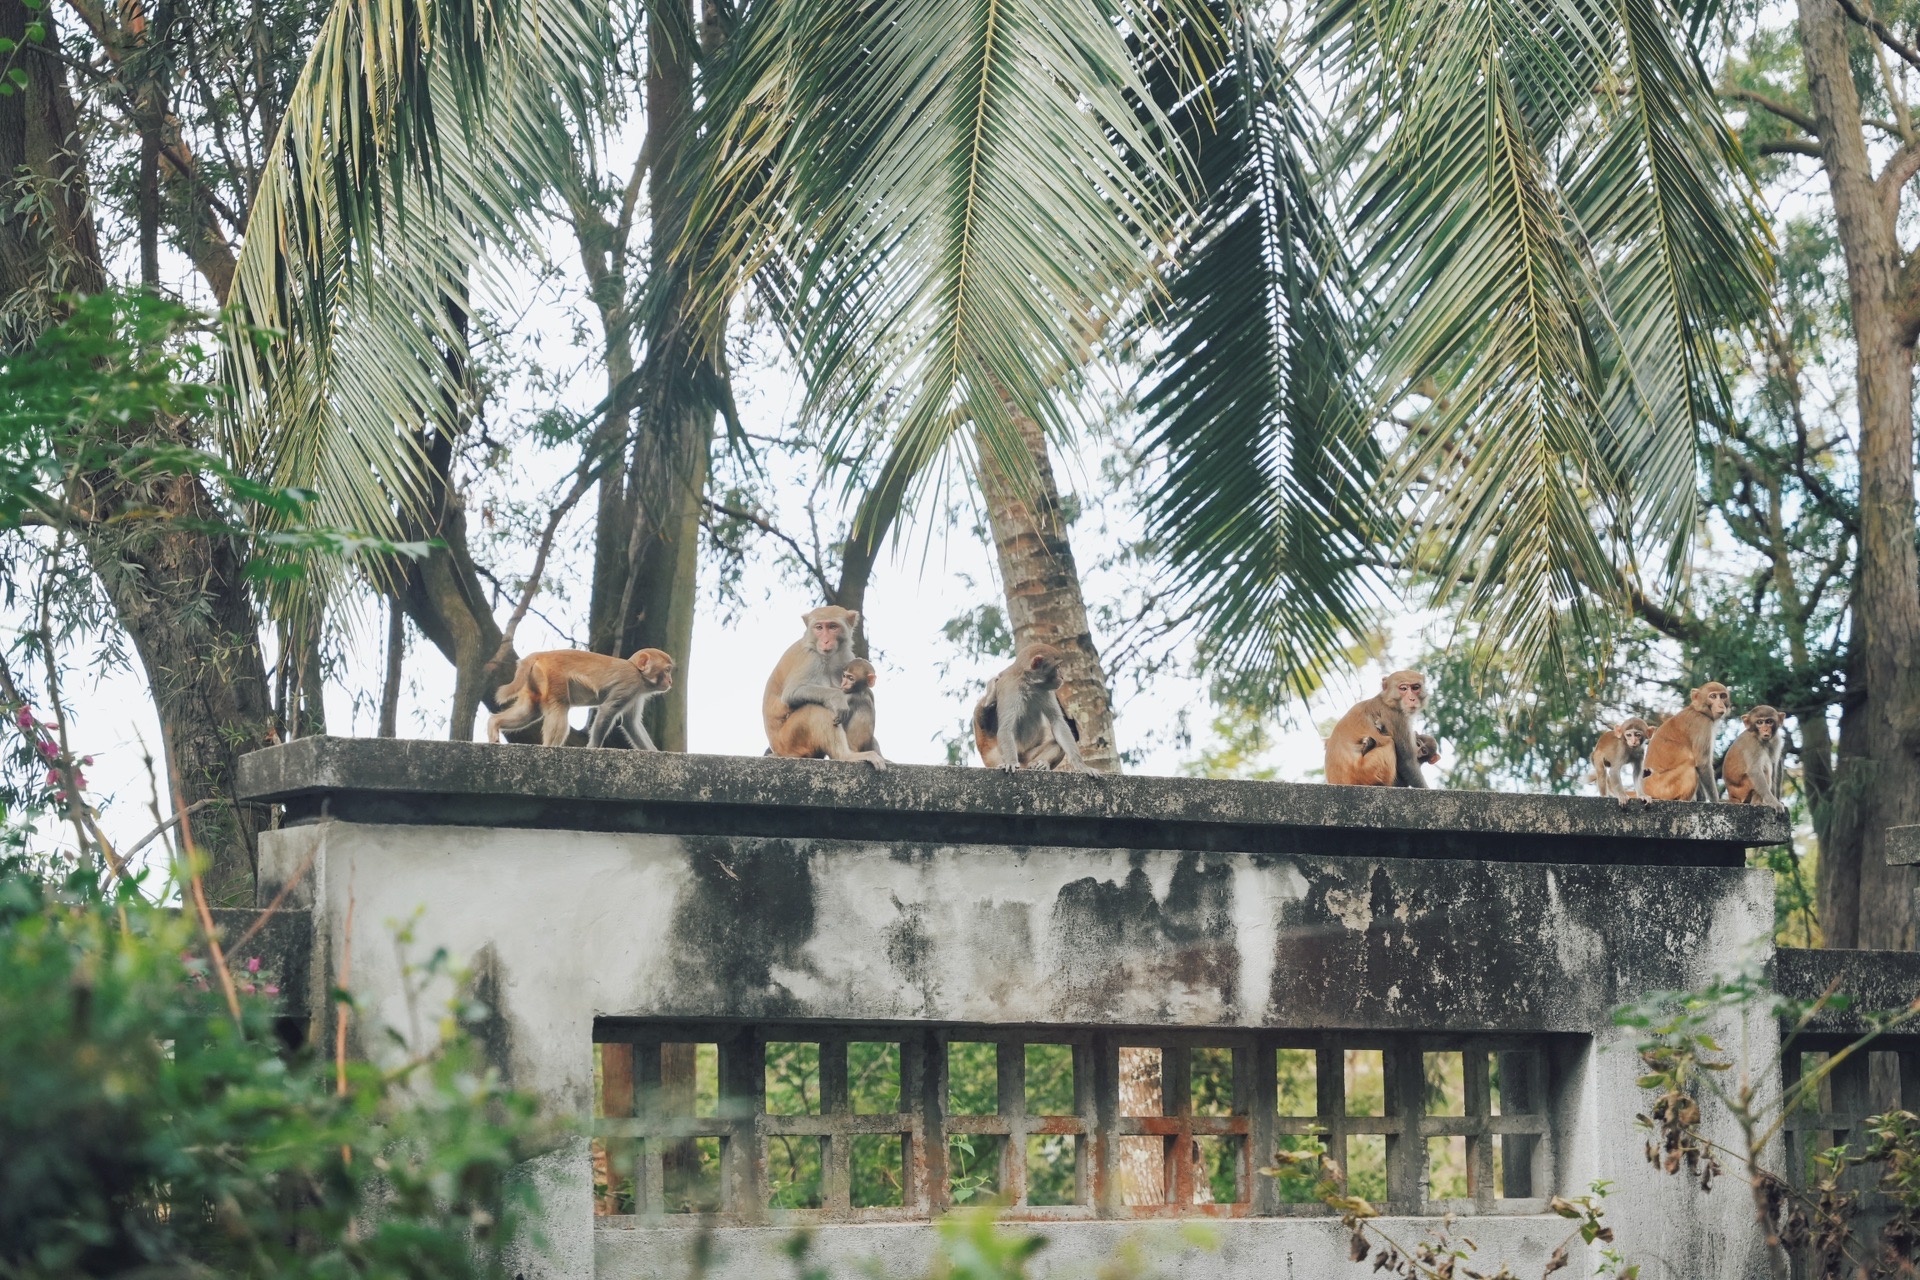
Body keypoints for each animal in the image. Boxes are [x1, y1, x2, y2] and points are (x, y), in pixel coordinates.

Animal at [487, 652, 675, 752]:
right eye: (667, 670)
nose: (670, 681)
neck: (638, 672)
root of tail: (541, 655)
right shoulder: (630, 683)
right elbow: (607, 710)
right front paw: (593, 747)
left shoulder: (637, 693)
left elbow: (630, 723)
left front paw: (653, 752)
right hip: (553, 677)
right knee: (560, 708)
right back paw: (548, 748)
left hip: (534, 680)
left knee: (530, 711)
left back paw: (494, 723)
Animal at [760, 602, 887, 771]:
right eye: (819, 627)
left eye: (832, 627)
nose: (825, 641)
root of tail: (777, 749)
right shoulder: (810, 658)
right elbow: (791, 693)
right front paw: (838, 698)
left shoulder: (846, 657)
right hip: (788, 740)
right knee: (816, 708)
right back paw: (847, 756)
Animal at [975, 644, 1098, 775]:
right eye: (1057, 667)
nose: (1062, 677)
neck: (1029, 684)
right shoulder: (1011, 689)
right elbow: (1006, 727)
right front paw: (1011, 762)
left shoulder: (1045, 690)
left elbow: (1057, 721)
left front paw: (1081, 765)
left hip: (1027, 756)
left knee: (1056, 743)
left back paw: (1040, 764)